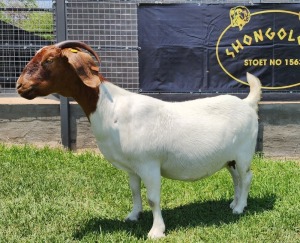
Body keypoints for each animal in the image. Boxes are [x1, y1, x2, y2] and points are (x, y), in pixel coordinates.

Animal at [16, 40, 262, 238]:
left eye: (49, 60)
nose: (20, 86)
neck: (111, 108)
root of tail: (248, 103)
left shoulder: (149, 163)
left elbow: (153, 197)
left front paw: (156, 231)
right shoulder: (131, 167)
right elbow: (134, 190)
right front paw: (133, 215)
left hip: (244, 153)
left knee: (247, 177)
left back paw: (240, 208)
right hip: (229, 158)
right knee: (236, 179)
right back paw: (234, 203)